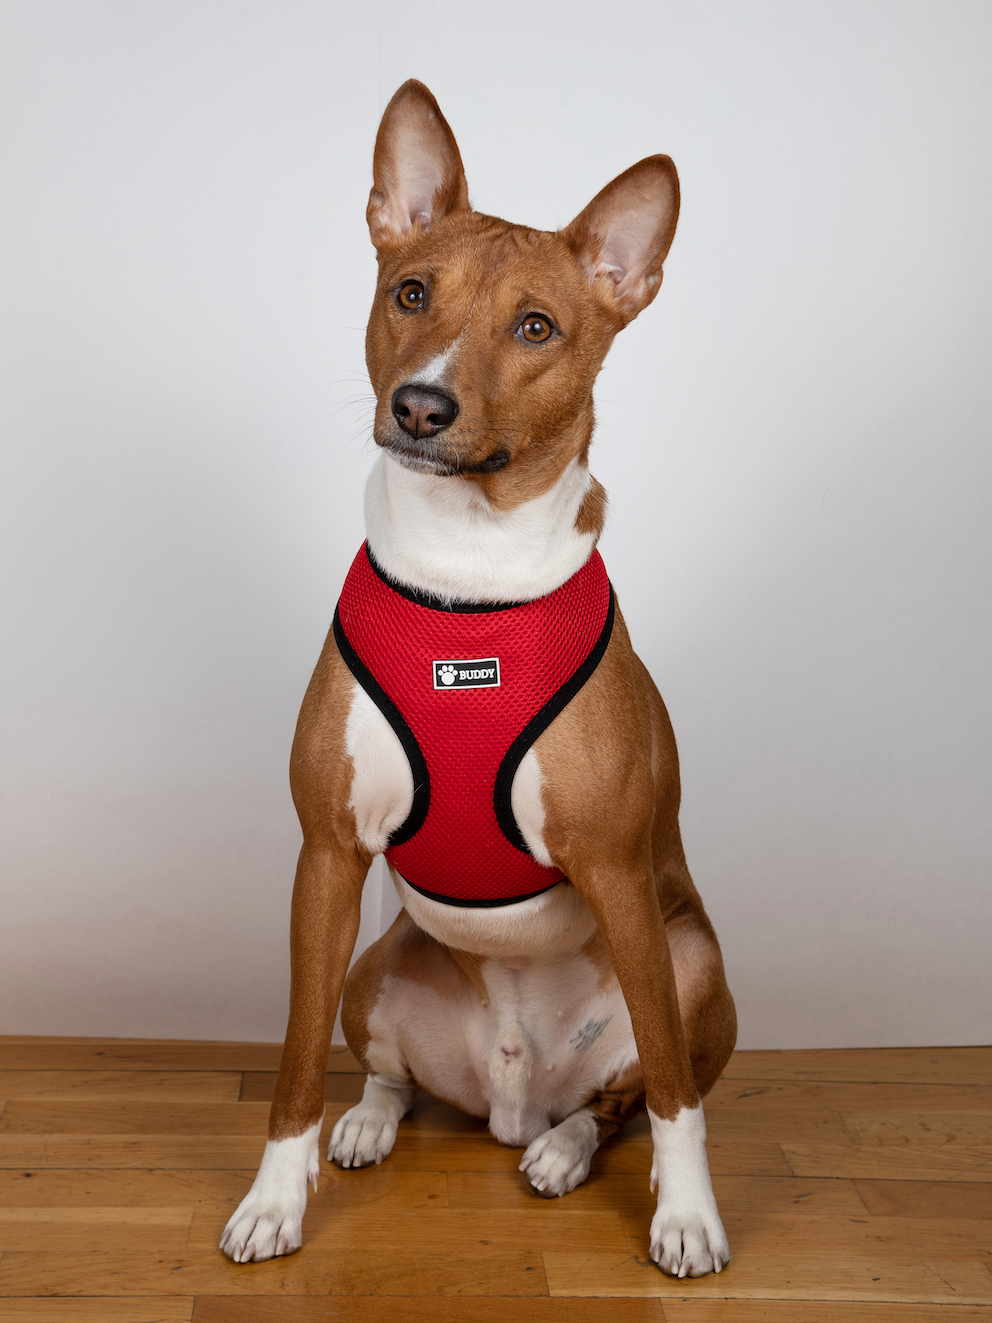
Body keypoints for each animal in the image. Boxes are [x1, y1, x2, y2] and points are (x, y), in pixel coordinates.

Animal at [221, 79, 736, 1278]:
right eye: (410, 293)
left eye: (536, 327)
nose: (421, 405)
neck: (469, 576)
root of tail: (509, 1089)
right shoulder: (326, 857)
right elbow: (292, 1063)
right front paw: (276, 1199)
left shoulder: (621, 878)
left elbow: (675, 1093)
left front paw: (687, 1217)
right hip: (373, 963)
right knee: (393, 1076)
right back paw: (371, 1123)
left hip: (692, 956)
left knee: (622, 1097)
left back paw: (561, 1151)